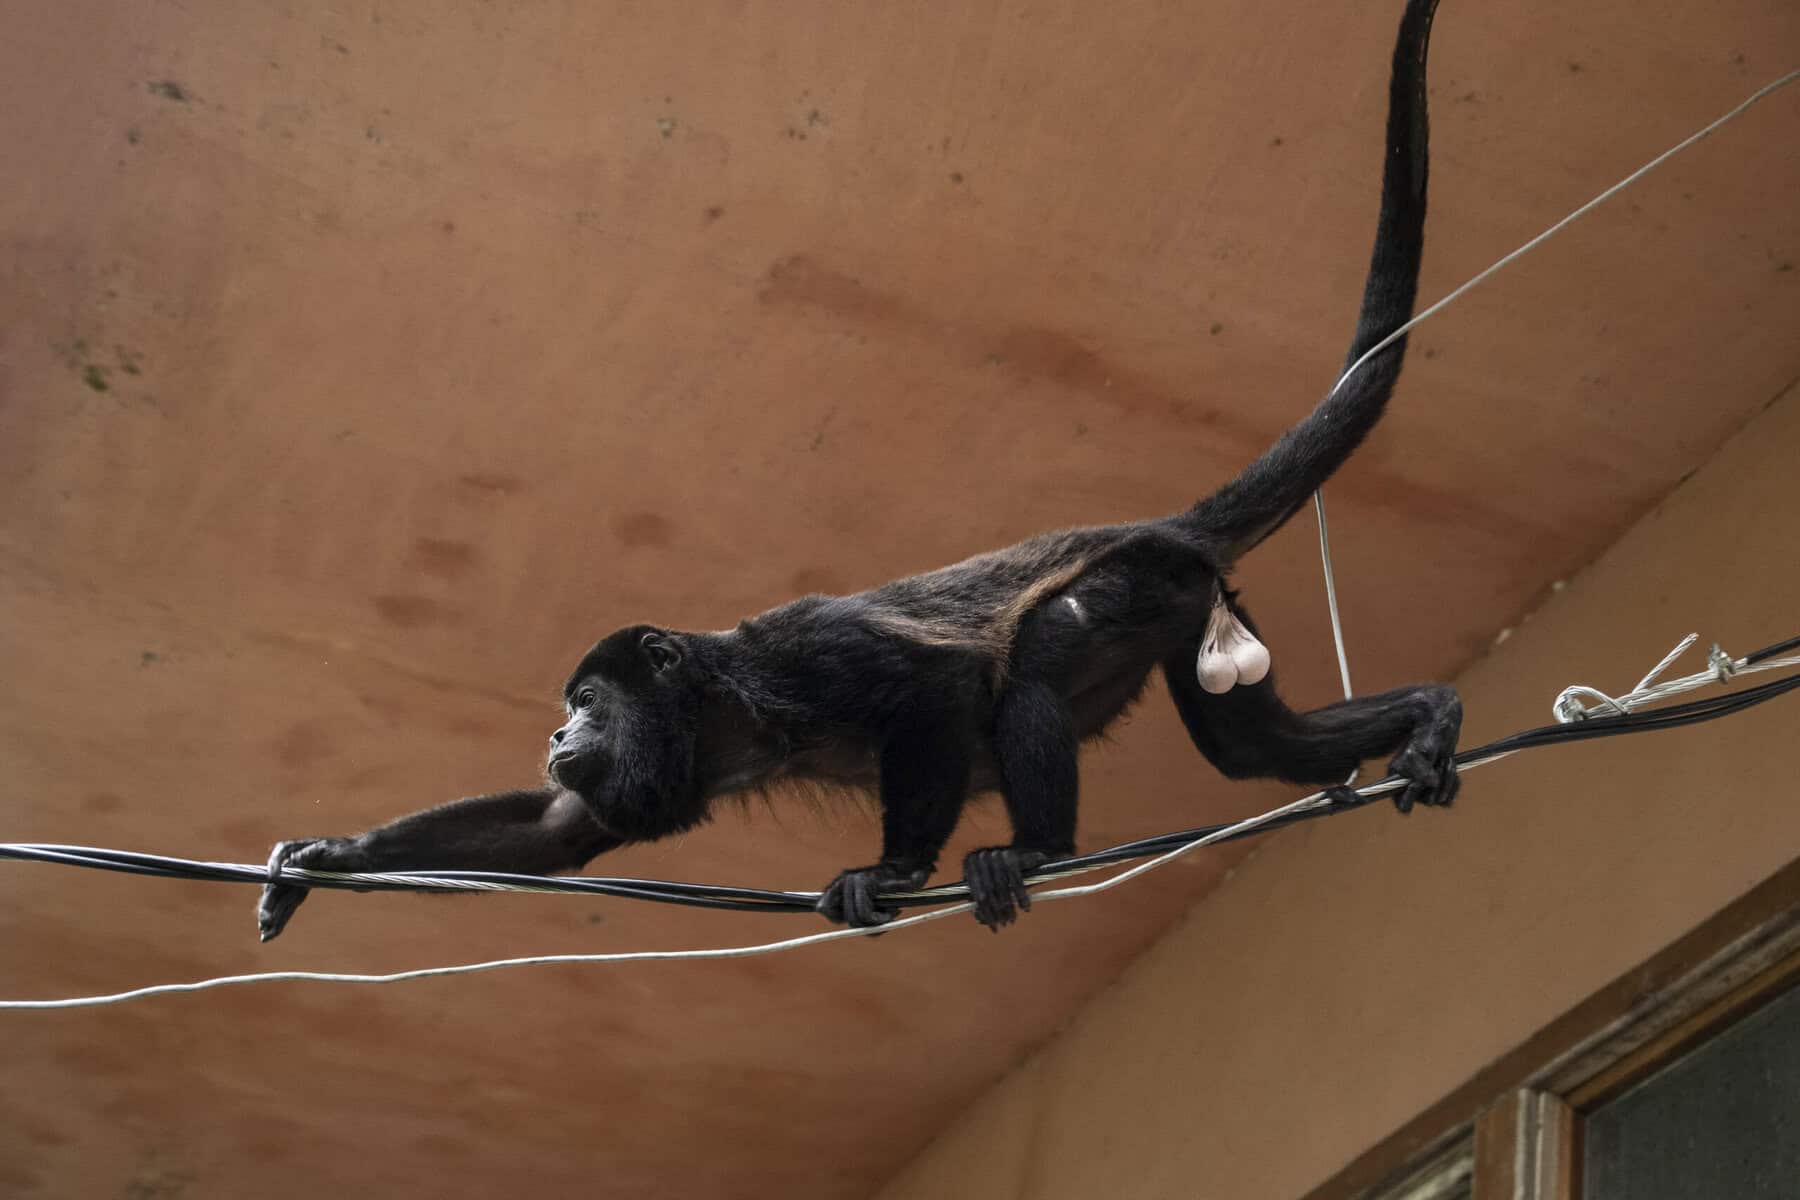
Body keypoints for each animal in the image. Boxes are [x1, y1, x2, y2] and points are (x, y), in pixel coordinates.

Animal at [256, 0, 1457, 942]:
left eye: (586, 703)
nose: (556, 734)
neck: (717, 703)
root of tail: (1166, 527)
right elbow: (554, 827)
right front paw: (328, 858)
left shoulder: (803, 655)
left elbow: (934, 689)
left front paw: (893, 869)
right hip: (1194, 603)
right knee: (1250, 745)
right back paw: (1429, 714)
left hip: (1137, 579)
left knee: (1039, 662)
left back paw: (1034, 848)